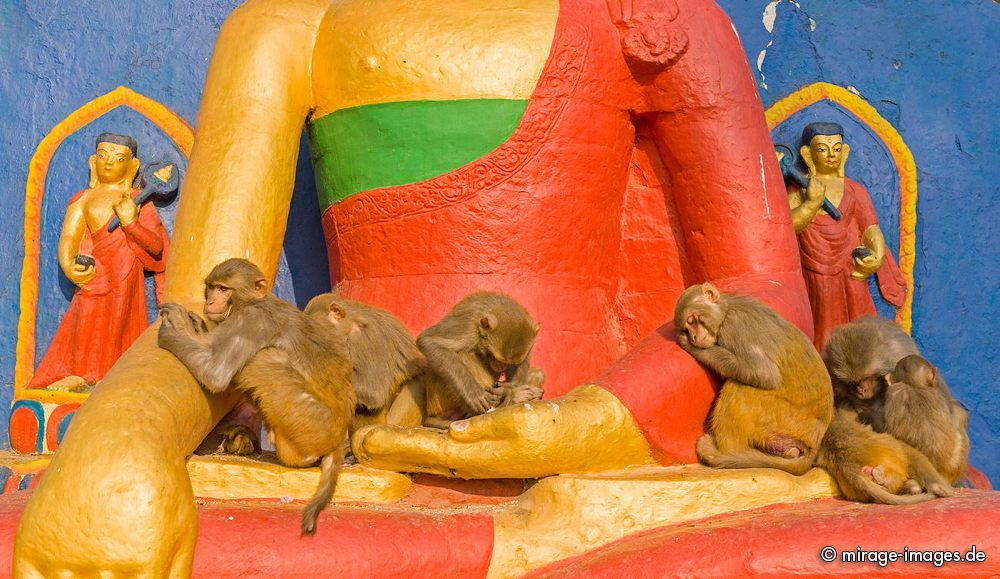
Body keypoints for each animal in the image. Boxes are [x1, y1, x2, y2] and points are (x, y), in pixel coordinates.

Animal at [157, 258, 355, 535]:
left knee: (266, 360)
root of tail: (338, 440)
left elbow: (216, 373)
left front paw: (174, 329)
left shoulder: (250, 320)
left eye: (224, 289)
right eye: (212, 287)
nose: (211, 301)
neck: (251, 301)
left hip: (311, 425)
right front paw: (196, 326)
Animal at [416, 292, 545, 429]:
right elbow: (430, 341)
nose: (501, 367)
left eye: (509, 363)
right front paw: (473, 394)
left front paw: (506, 390)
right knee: (464, 356)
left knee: (537, 373)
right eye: (495, 358)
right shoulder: (468, 324)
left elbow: (523, 362)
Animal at [674, 283, 833, 476]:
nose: (693, 337)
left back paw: (721, 453)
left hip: (783, 417)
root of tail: (815, 442)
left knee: (739, 387)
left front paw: (691, 347)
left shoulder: (735, 327)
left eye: (691, 321)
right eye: (686, 328)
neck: (727, 310)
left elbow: (763, 373)